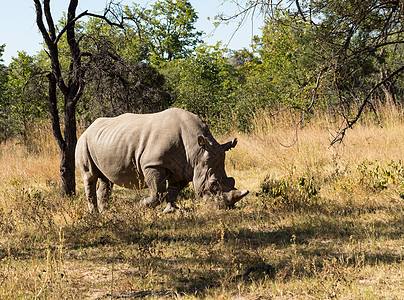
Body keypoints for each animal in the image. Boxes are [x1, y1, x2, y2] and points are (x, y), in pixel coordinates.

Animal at [74, 108, 248, 213]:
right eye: (212, 185)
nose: (225, 208)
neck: (196, 150)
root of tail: (88, 128)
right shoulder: (153, 164)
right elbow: (158, 191)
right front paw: (141, 205)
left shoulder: (185, 168)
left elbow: (173, 191)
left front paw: (172, 211)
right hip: (83, 142)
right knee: (89, 177)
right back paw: (94, 214)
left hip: (105, 140)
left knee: (106, 179)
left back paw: (105, 212)